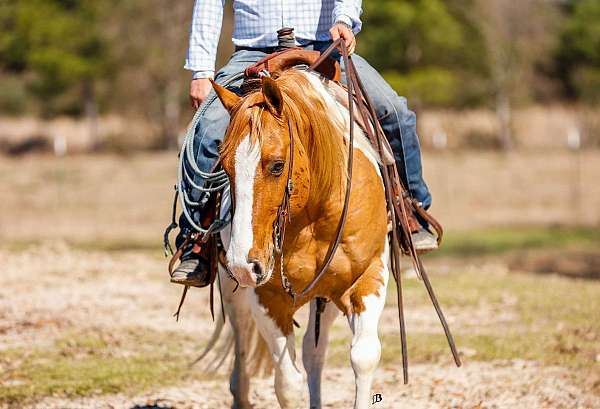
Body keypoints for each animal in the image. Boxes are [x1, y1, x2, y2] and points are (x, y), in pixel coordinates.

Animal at [210, 67, 390, 408]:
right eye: (224, 167)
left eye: (277, 165)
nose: (243, 263)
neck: (313, 215)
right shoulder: (266, 297)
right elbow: (288, 383)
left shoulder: (368, 276)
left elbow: (363, 357)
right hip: (232, 288)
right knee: (241, 335)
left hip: (326, 296)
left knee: (313, 352)